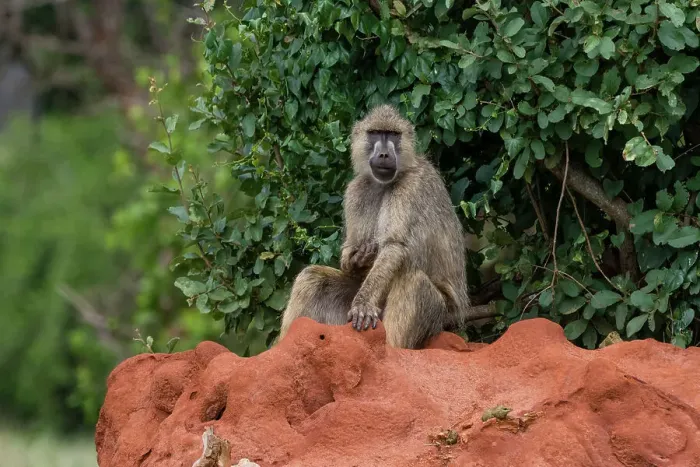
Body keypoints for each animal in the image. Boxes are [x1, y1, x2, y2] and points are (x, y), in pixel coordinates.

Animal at [277, 104, 472, 349]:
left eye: (392, 135)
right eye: (376, 133)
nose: (384, 154)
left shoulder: (411, 186)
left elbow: (394, 246)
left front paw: (362, 304)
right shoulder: (356, 190)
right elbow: (350, 253)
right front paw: (356, 258)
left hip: (441, 320)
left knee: (413, 280)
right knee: (312, 278)